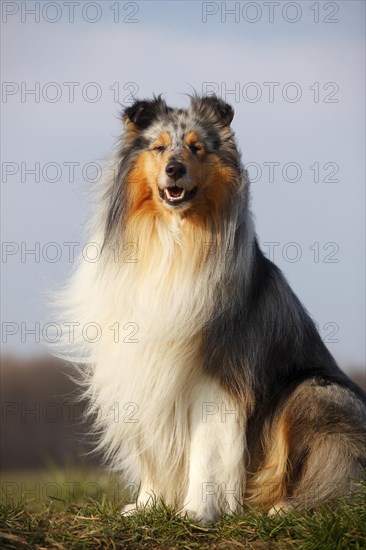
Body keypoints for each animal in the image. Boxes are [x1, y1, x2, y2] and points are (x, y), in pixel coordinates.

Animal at [58, 97, 364, 524]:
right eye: (159, 147)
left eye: (197, 148)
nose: (175, 169)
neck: (174, 240)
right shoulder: (140, 366)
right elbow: (153, 450)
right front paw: (149, 506)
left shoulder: (218, 375)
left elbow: (209, 450)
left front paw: (197, 513)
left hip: (315, 394)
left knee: (333, 480)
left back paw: (284, 508)